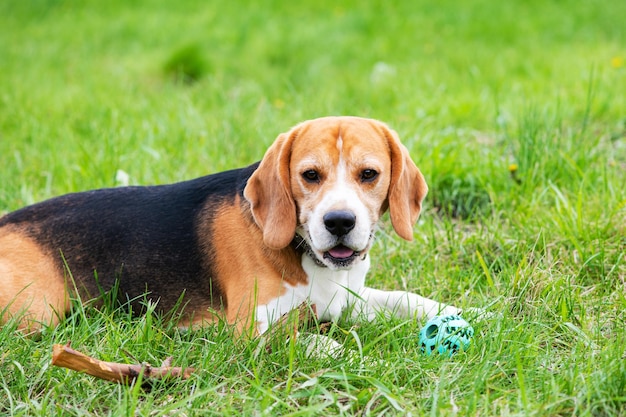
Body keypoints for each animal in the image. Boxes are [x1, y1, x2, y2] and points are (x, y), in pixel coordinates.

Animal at [0, 114, 458, 334]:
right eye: (310, 175)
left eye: (369, 174)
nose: (340, 222)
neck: (305, 255)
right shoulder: (251, 327)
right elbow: (308, 341)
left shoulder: (346, 298)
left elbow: (403, 298)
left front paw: (460, 312)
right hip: (38, 313)